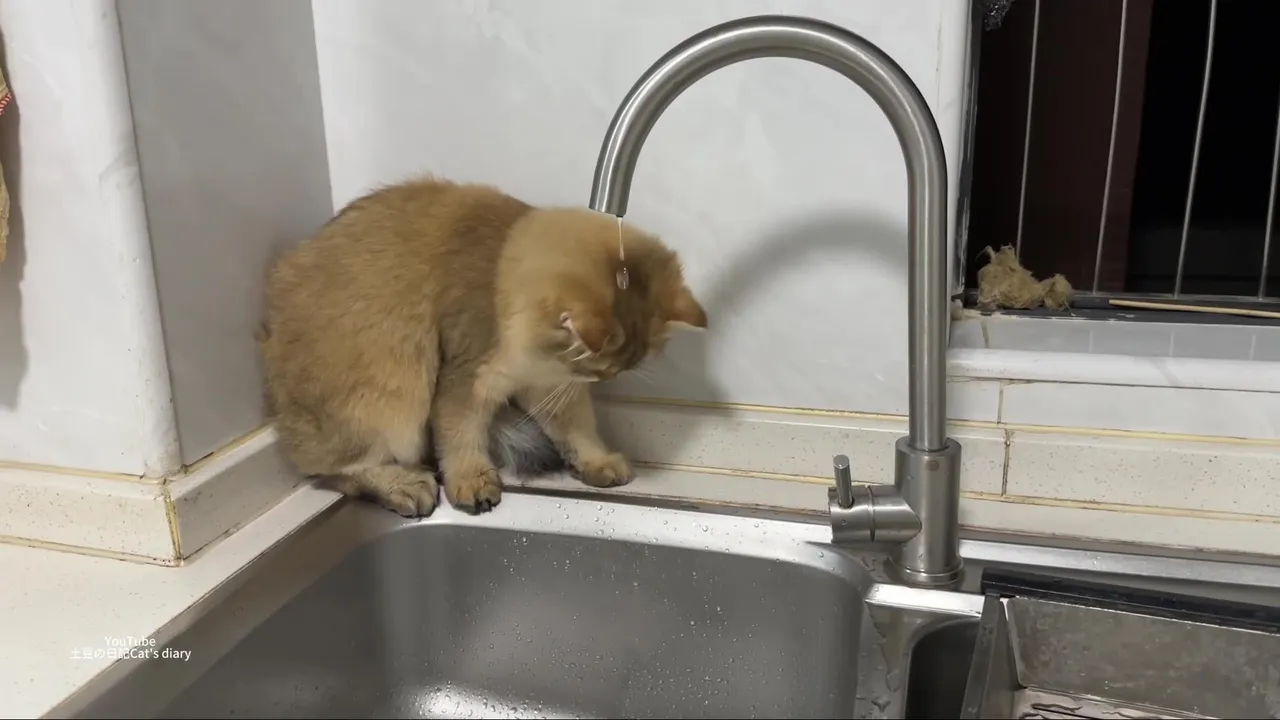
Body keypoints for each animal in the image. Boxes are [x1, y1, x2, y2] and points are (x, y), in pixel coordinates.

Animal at [258, 176, 707, 518]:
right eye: (600, 369)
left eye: (613, 370)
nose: (605, 379)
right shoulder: (467, 377)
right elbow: (461, 435)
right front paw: (471, 482)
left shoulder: (550, 384)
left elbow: (578, 427)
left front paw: (597, 461)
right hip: (389, 397)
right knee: (332, 468)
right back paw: (403, 484)